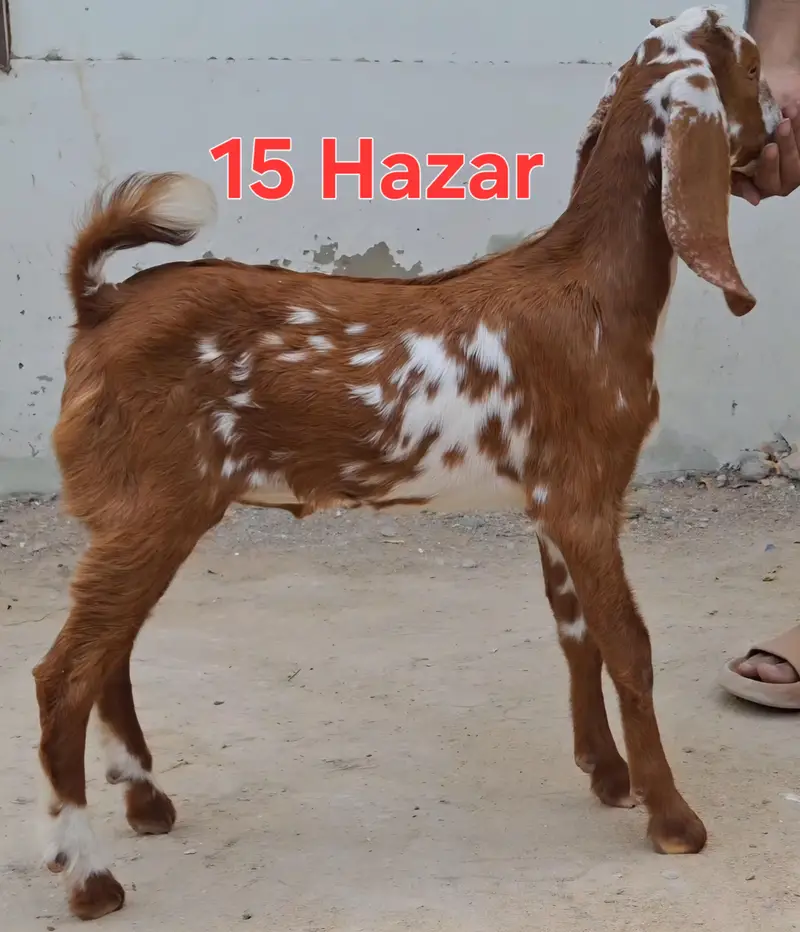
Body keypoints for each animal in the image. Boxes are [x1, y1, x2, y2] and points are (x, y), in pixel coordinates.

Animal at [33, 5, 782, 921]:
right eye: (752, 65)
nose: (781, 120)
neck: (593, 287)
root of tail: (98, 303)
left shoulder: (548, 501)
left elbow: (575, 633)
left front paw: (605, 774)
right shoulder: (587, 493)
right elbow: (629, 646)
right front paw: (672, 818)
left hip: (138, 515)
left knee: (111, 653)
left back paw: (145, 801)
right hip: (152, 507)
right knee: (63, 677)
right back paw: (91, 877)